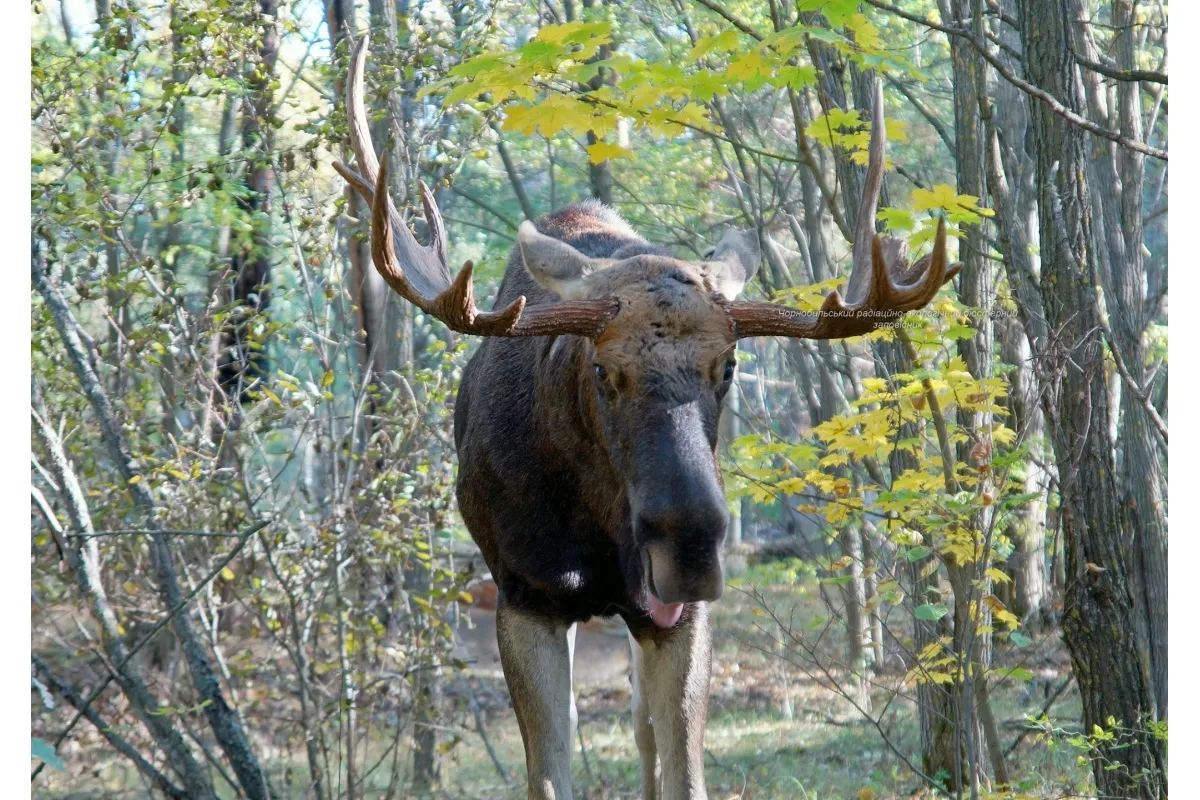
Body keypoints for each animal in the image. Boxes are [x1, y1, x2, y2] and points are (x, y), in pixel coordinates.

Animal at [333, 37, 958, 800]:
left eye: (730, 366)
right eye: (601, 370)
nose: (688, 547)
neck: (597, 519)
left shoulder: (679, 615)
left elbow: (683, 768)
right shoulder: (523, 595)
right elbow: (549, 776)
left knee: (646, 737)